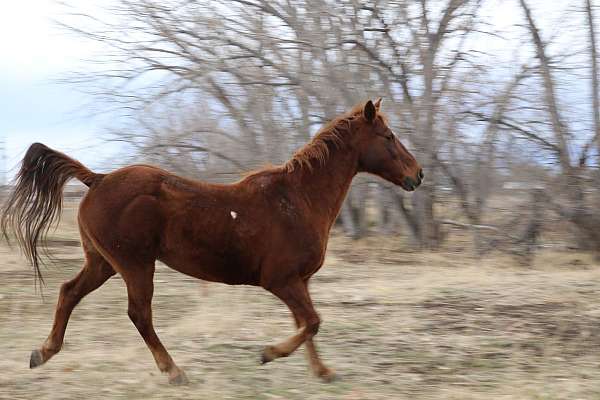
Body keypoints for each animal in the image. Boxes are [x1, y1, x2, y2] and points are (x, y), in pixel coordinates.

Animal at [1, 97, 422, 384]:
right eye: (388, 136)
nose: (417, 175)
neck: (297, 199)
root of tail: (98, 178)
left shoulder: (299, 282)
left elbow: (308, 323)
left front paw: (323, 372)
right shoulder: (281, 280)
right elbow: (313, 322)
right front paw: (268, 354)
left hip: (103, 262)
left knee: (69, 292)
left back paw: (42, 353)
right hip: (135, 265)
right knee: (139, 314)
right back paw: (174, 372)